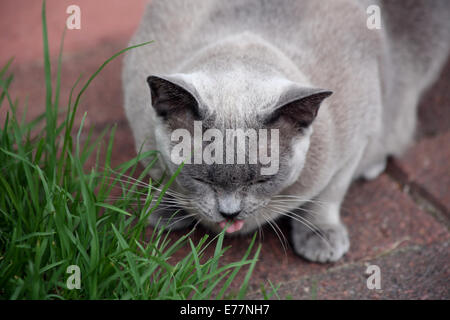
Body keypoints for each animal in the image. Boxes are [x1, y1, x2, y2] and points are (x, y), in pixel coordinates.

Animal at [121, 0, 448, 262]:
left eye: (262, 180)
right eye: (200, 178)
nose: (230, 213)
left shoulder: (354, 144)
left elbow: (328, 195)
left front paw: (321, 238)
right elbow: (163, 179)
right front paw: (163, 211)